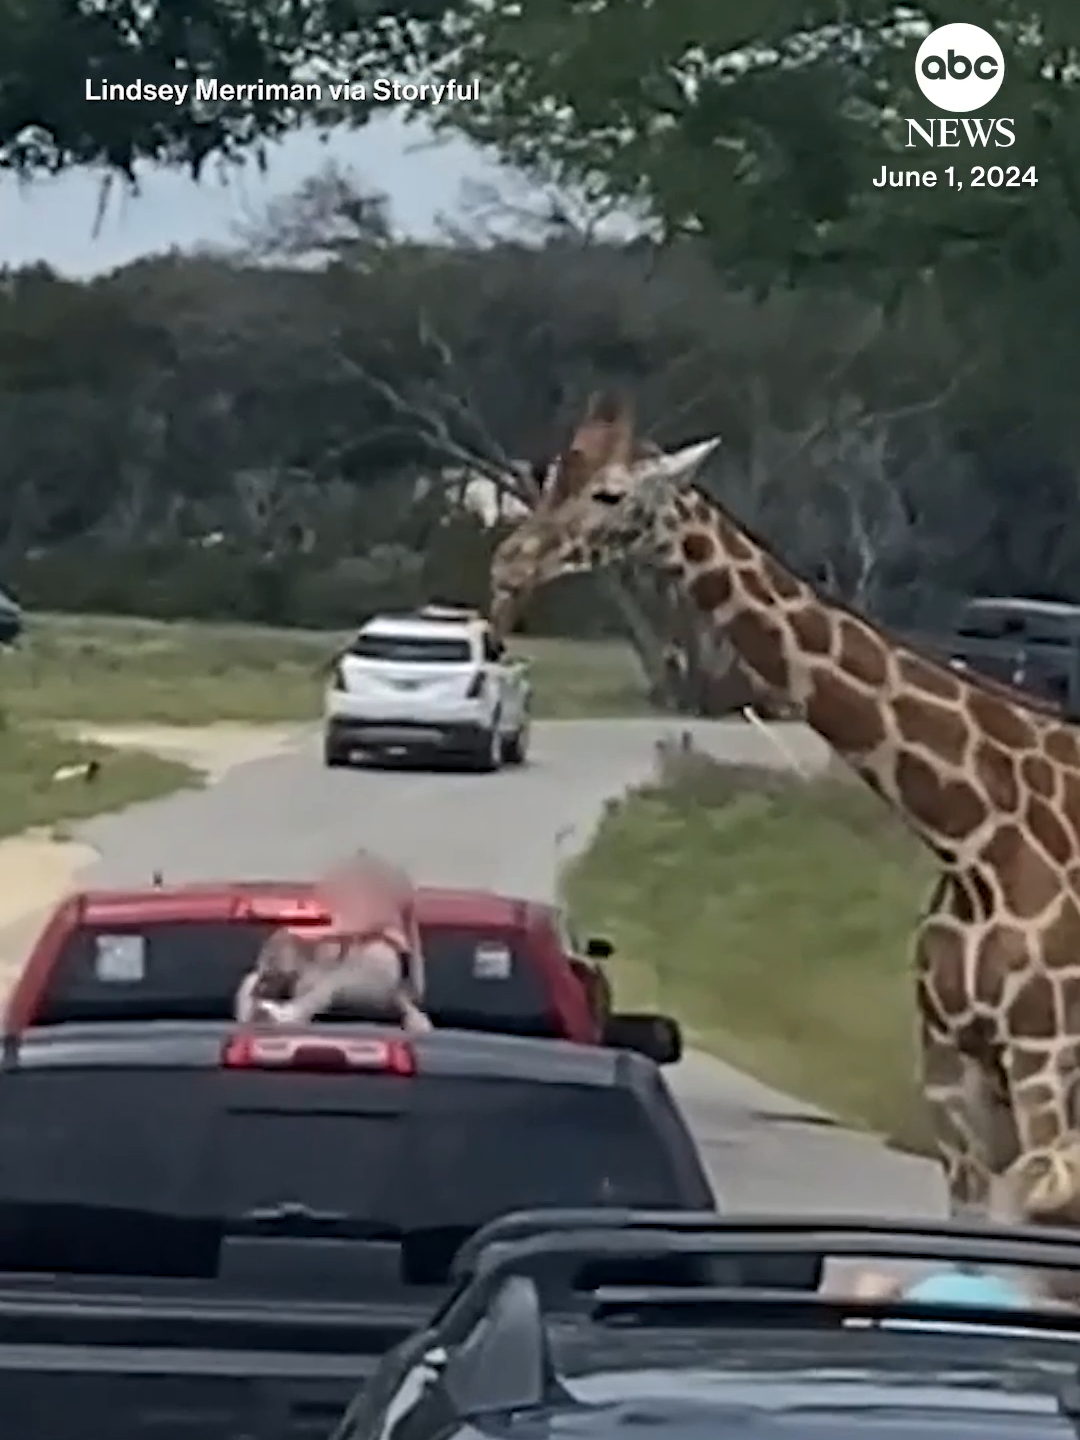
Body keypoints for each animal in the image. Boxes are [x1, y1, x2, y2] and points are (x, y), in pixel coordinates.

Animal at [498, 394, 1080, 1226]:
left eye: (611, 493)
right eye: (551, 474)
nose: (510, 562)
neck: (972, 834)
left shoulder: (1045, 1056)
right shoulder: (953, 1067)